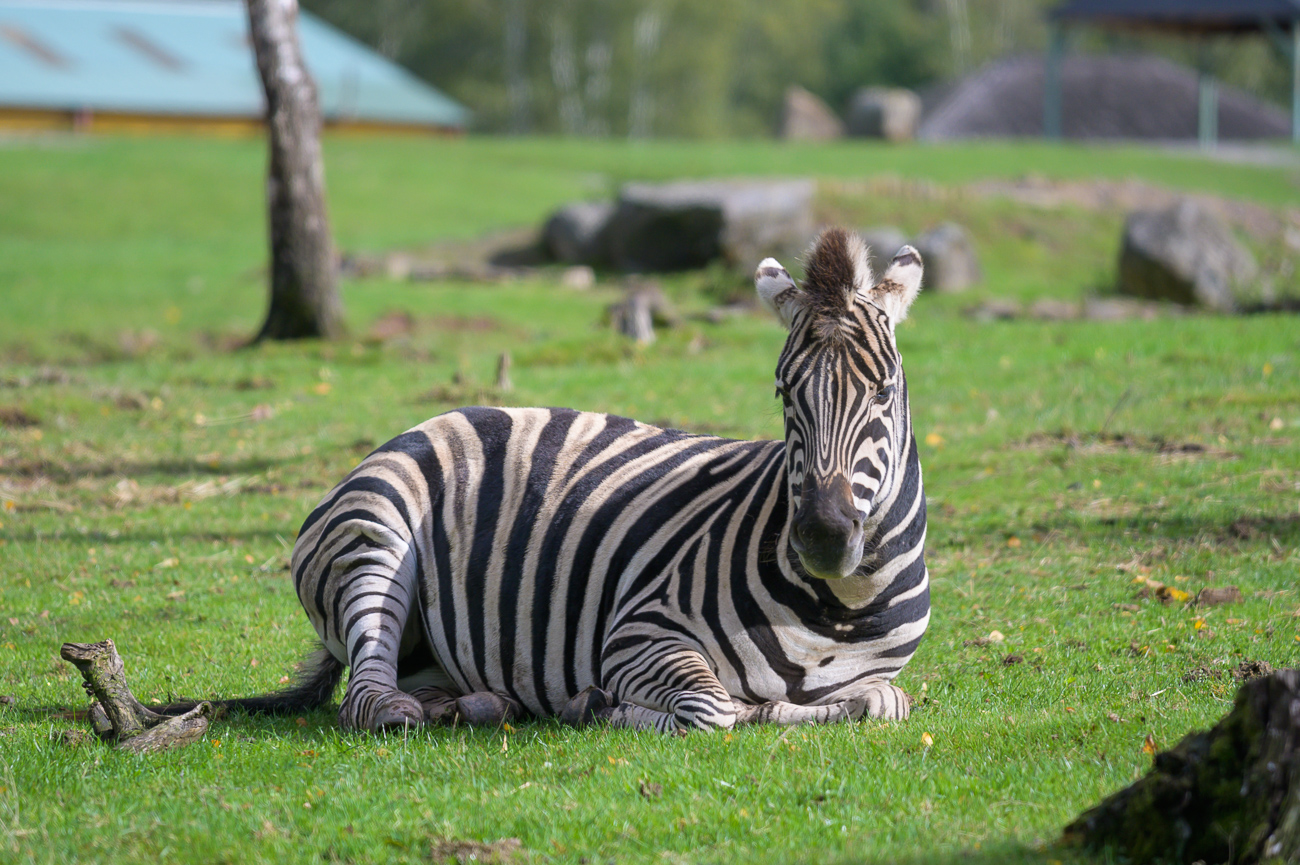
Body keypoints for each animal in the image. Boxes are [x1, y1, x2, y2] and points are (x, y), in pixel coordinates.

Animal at [233, 227, 929, 734]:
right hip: (373, 534)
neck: (843, 609)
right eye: (785, 394)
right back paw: (410, 711)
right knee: (366, 697)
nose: (822, 537)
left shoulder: (880, 681)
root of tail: (440, 418)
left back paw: (480, 705)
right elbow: (714, 709)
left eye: (883, 392)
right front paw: (604, 705)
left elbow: (885, 704)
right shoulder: (640, 631)